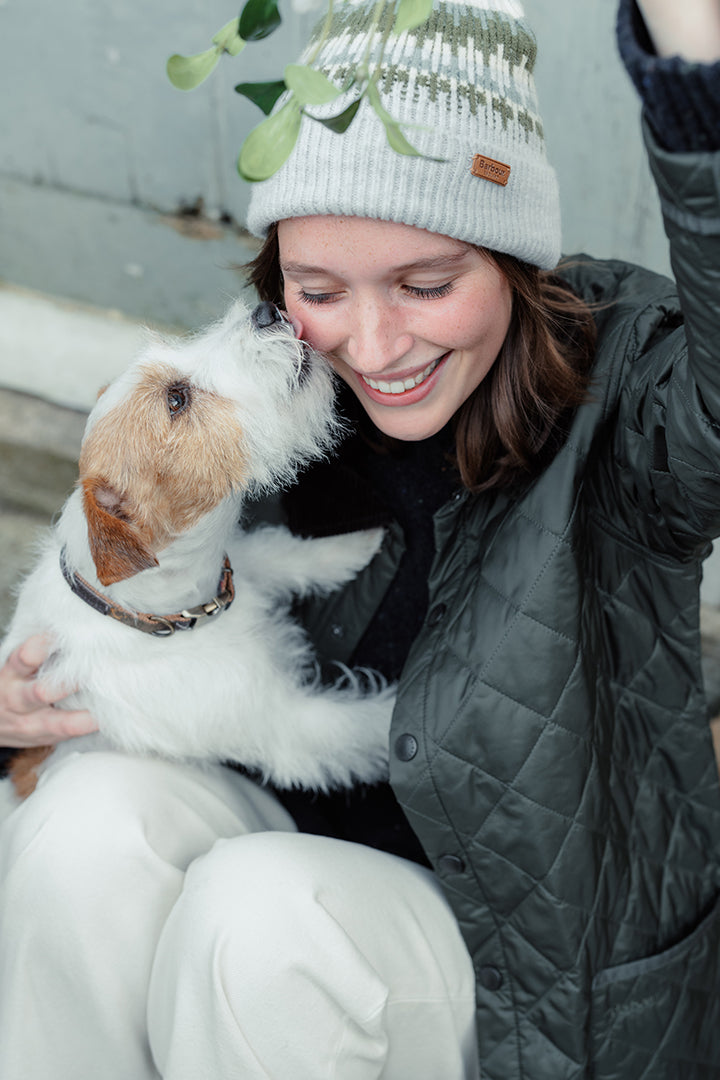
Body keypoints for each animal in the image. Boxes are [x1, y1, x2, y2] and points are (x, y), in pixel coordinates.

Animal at [0, 300, 395, 812]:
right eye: (177, 400)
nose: (266, 310)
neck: (180, 612)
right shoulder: (286, 722)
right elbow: (363, 726)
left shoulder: (246, 558)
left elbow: (284, 553)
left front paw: (356, 547)